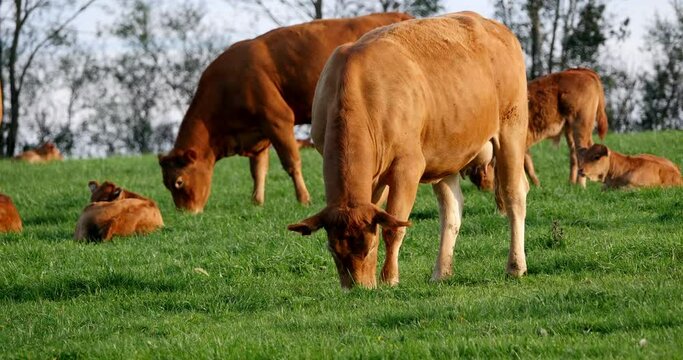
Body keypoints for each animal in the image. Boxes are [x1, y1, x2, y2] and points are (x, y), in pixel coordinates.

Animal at [160, 12, 414, 212]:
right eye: (166, 183)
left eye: (179, 182)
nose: (186, 212)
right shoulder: (259, 131)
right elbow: (258, 169)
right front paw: (257, 201)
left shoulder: (278, 118)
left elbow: (291, 162)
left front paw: (304, 199)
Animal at [288, 11, 528, 290]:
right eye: (333, 250)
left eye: (370, 248)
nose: (357, 289)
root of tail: (497, 28)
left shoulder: (408, 167)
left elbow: (394, 226)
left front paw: (389, 278)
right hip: (447, 152)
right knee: (452, 210)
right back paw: (441, 272)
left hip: (512, 130)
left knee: (514, 195)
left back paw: (515, 266)